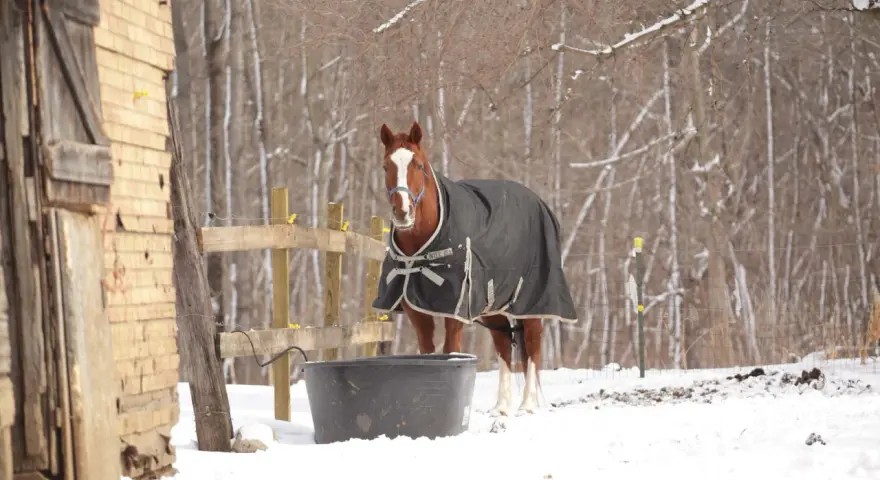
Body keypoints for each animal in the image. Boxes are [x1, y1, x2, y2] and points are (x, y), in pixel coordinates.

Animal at [372, 121, 578, 416]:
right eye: (386, 166)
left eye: (418, 165)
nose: (403, 212)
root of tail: (539, 203)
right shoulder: (417, 311)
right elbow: (427, 352)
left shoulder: (455, 312)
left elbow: (450, 351)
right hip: (493, 308)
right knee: (504, 345)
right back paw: (501, 407)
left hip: (532, 304)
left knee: (533, 346)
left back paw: (527, 405)